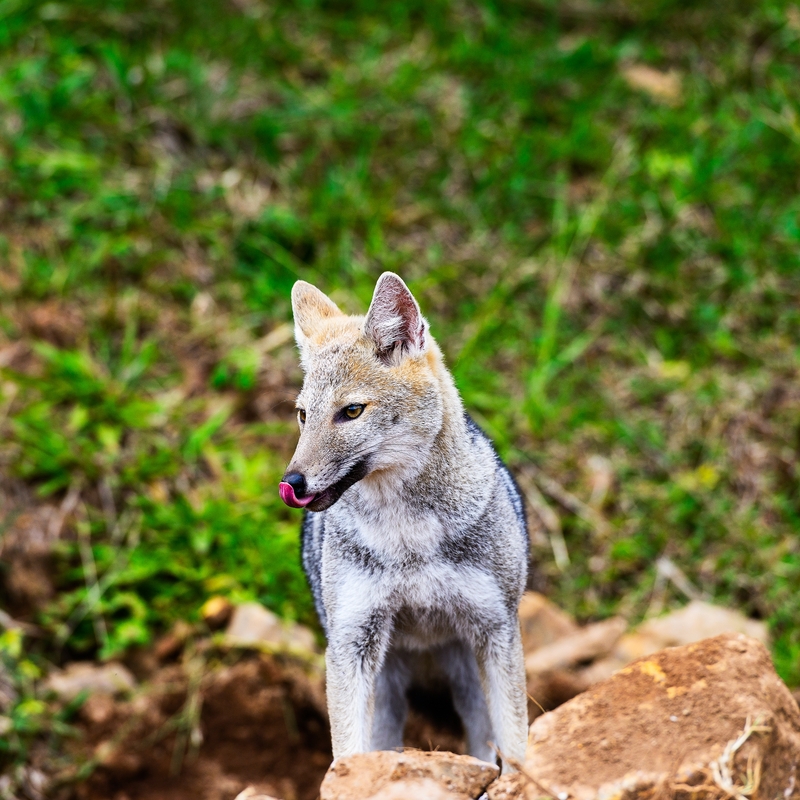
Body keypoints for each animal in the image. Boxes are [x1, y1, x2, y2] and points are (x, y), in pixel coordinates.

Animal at [278, 272, 528, 772]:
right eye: (302, 415)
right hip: (387, 680)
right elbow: (347, 752)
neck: (408, 540)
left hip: (465, 672)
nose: (291, 482)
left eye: (351, 411)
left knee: (480, 740)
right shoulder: (351, 642)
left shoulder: (497, 630)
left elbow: (516, 743)